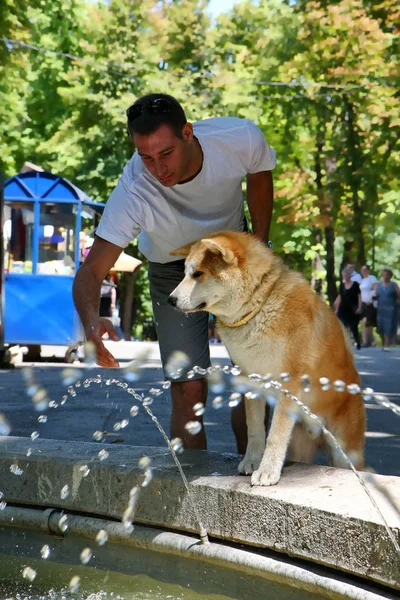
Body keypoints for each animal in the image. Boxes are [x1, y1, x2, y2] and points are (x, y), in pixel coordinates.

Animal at [169, 231, 366, 488]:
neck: (260, 305)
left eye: (198, 274)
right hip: (300, 446)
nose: (170, 300)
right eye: (185, 273)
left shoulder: (289, 382)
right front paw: (252, 462)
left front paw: (267, 471)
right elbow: (255, 430)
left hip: (344, 452)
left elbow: (275, 435)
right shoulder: (251, 380)